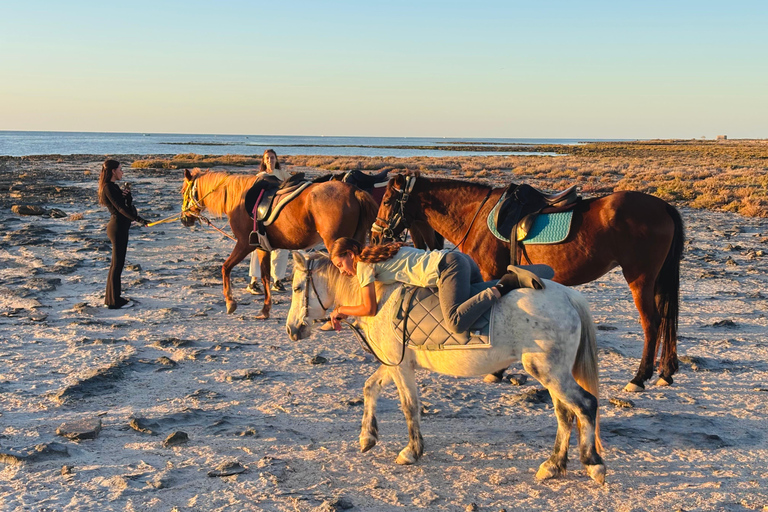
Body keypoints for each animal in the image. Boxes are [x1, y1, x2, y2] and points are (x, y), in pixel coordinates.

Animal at [180, 169, 378, 318]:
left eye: (183, 192)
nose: (184, 219)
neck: (241, 198)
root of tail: (354, 191)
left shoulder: (244, 245)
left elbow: (225, 268)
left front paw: (230, 302)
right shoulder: (261, 247)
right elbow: (265, 276)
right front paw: (265, 310)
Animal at [285, 251, 605, 484]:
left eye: (297, 287)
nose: (291, 330)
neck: (381, 300)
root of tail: (568, 296)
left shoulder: (401, 367)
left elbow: (409, 406)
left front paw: (412, 451)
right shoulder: (393, 363)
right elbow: (369, 388)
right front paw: (367, 436)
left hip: (549, 372)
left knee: (585, 405)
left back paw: (593, 463)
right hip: (551, 374)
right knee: (565, 414)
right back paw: (553, 465)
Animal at [372, 174, 684, 392]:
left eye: (386, 202)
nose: (376, 236)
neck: (476, 215)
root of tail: (664, 206)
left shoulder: (491, 273)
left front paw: (495, 370)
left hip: (640, 278)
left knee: (652, 323)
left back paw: (639, 378)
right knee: (666, 319)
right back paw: (666, 372)